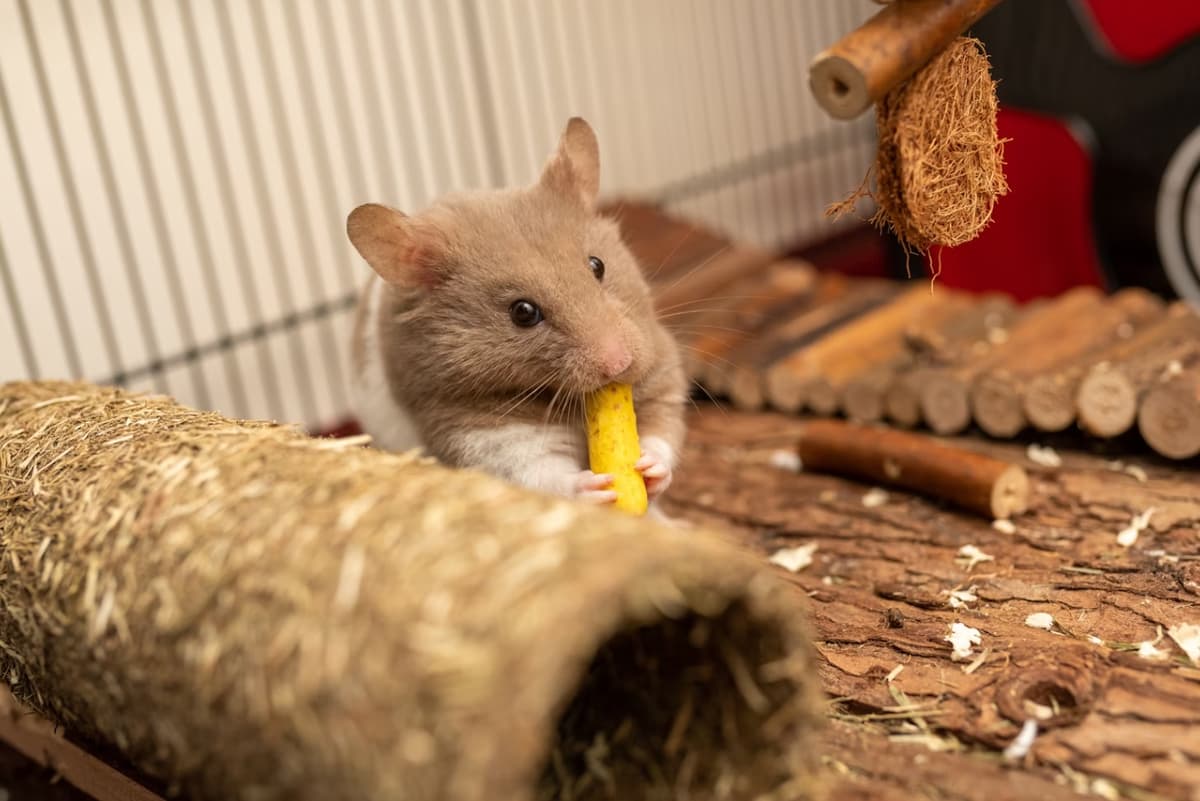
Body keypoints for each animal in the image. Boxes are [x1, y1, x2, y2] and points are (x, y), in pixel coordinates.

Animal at [346, 117, 689, 516]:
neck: (563, 397)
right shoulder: (482, 432)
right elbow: (539, 471)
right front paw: (595, 488)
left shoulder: (662, 371)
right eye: (523, 312)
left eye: (597, 265)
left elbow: (662, 430)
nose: (619, 364)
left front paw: (649, 468)